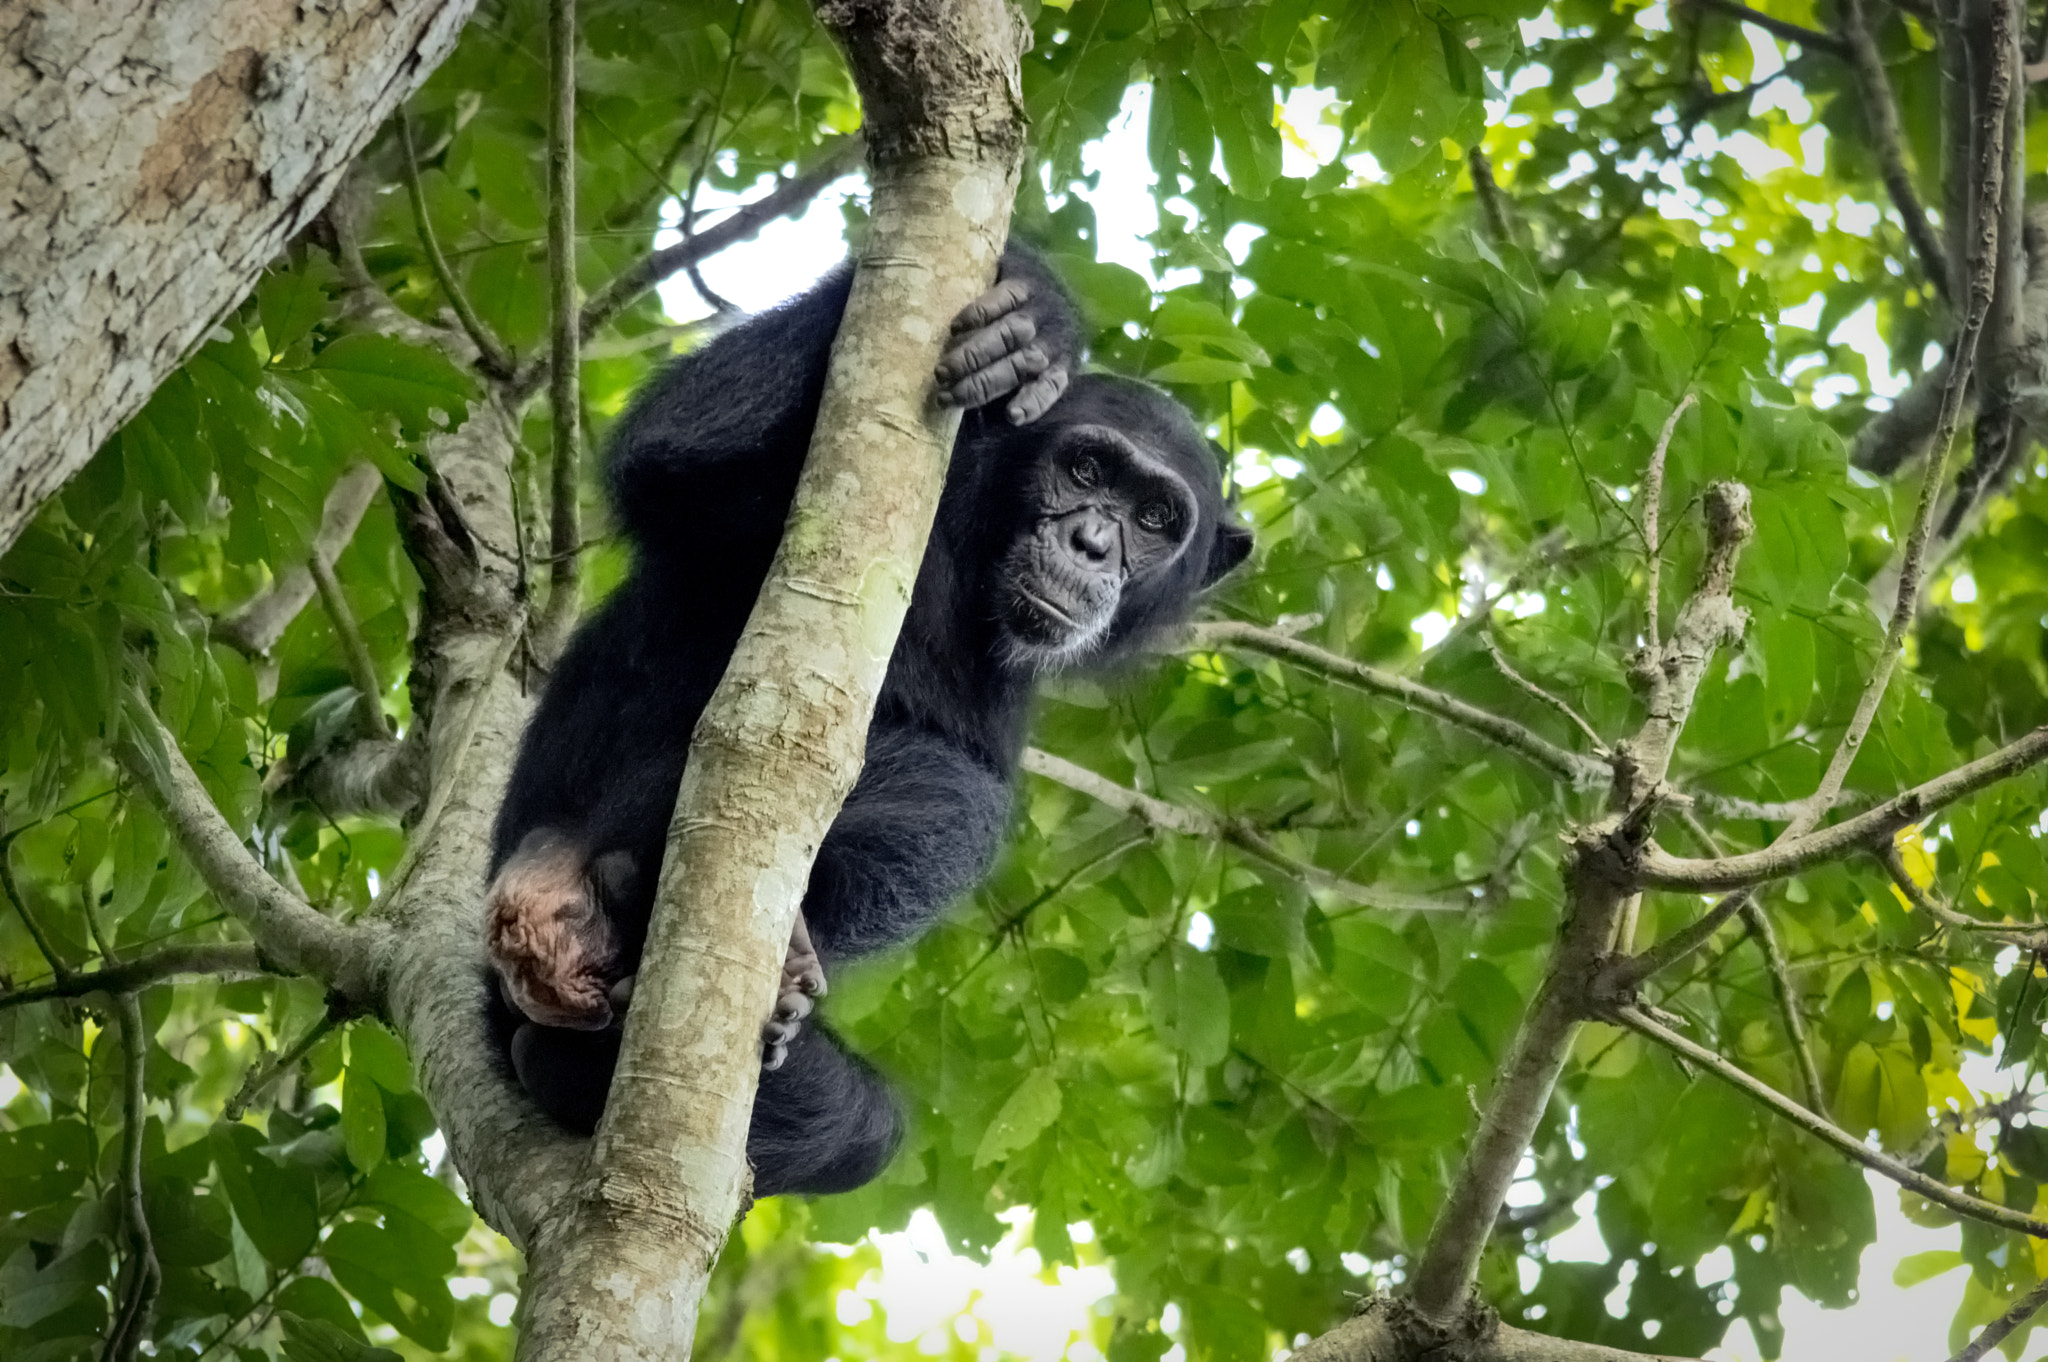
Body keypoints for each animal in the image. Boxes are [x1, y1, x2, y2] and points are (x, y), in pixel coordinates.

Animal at [487, 241, 1253, 1187]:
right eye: (1086, 471)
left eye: (1155, 516)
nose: (1093, 542)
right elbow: (679, 457)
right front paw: (1035, 310)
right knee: (943, 798)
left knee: (861, 1125)